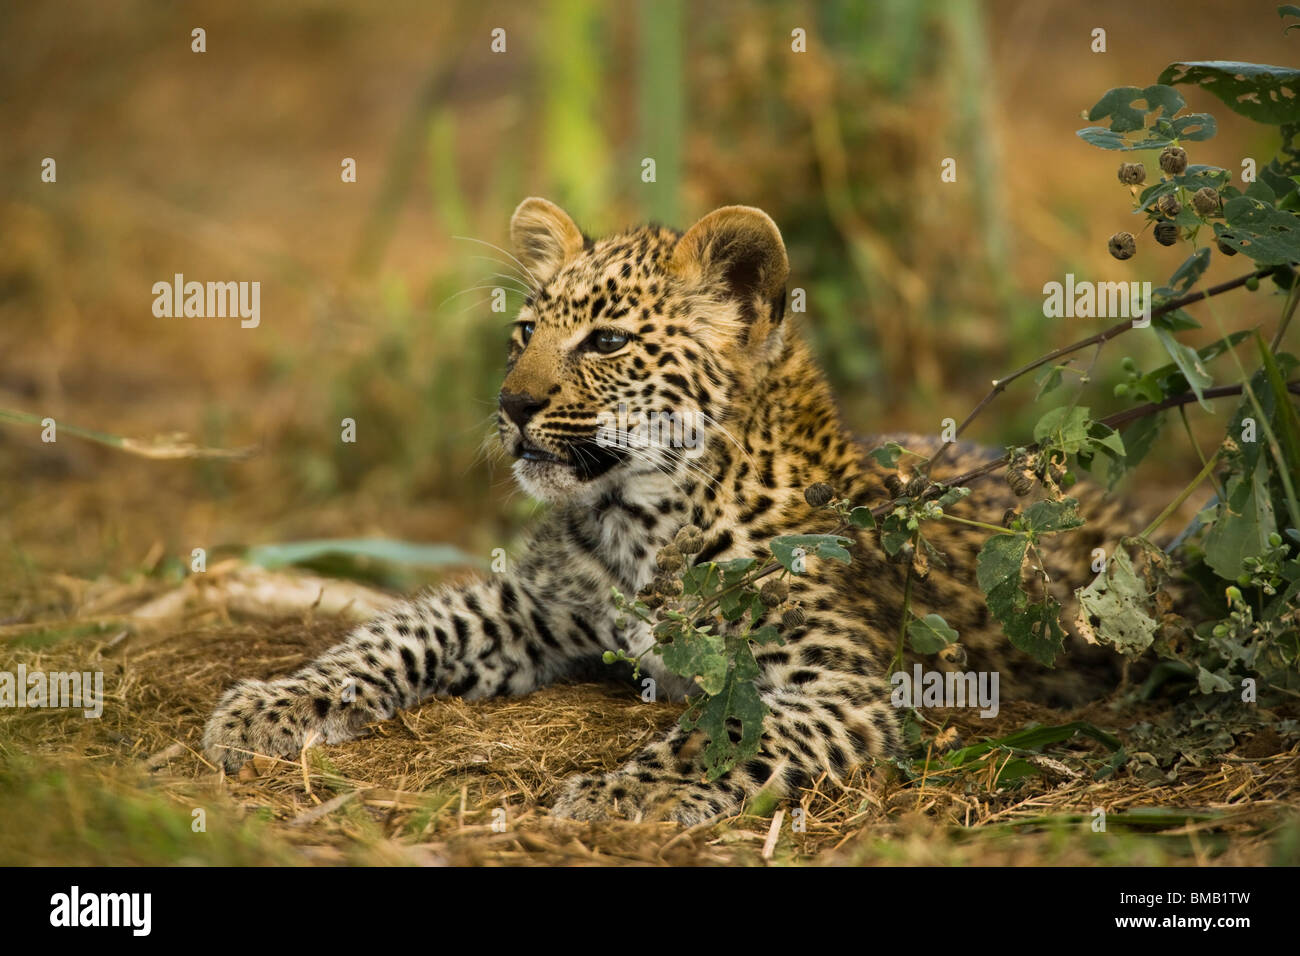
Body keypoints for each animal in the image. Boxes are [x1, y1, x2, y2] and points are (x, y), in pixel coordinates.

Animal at [203, 198, 1129, 825]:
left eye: (607, 342)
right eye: (525, 331)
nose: (510, 404)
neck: (640, 520)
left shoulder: (839, 684)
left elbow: (728, 727)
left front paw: (615, 795)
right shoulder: (530, 604)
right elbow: (404, 633)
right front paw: (269, 705)